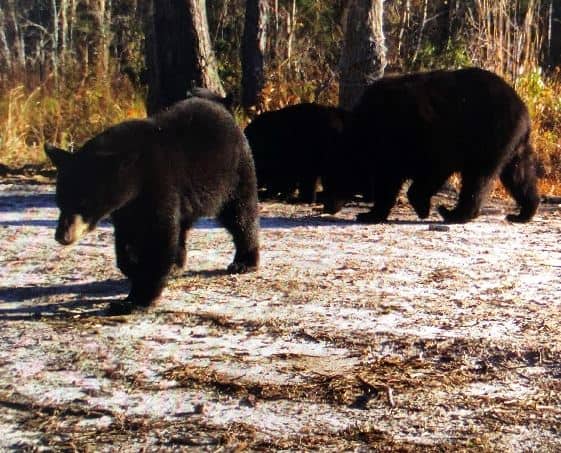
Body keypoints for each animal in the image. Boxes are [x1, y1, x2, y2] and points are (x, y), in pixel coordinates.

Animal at [46, 96, 260, 312]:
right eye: (60, 201)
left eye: (84, 203)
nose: (62, 236)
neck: (136, 173)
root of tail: (222, 108)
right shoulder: (127, 206)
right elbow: (127, 237)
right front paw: (132, 267)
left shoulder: (159, 183)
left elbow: (158, 236)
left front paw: (137, 298)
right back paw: (176, 265)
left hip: (235, 173)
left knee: (240, 215)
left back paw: (245, 261)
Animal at [322, 67, 540, 222]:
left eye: (334, 178)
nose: (327, 206)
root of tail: (522, 108)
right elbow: (388, 182)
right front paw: (371, 214)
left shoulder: (425, 141)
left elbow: (431, 170)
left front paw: (421, 205)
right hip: (513, 145)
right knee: (519, 175)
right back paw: (523, 213)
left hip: (490, 135)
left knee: (478, 178)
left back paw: (454, 213)